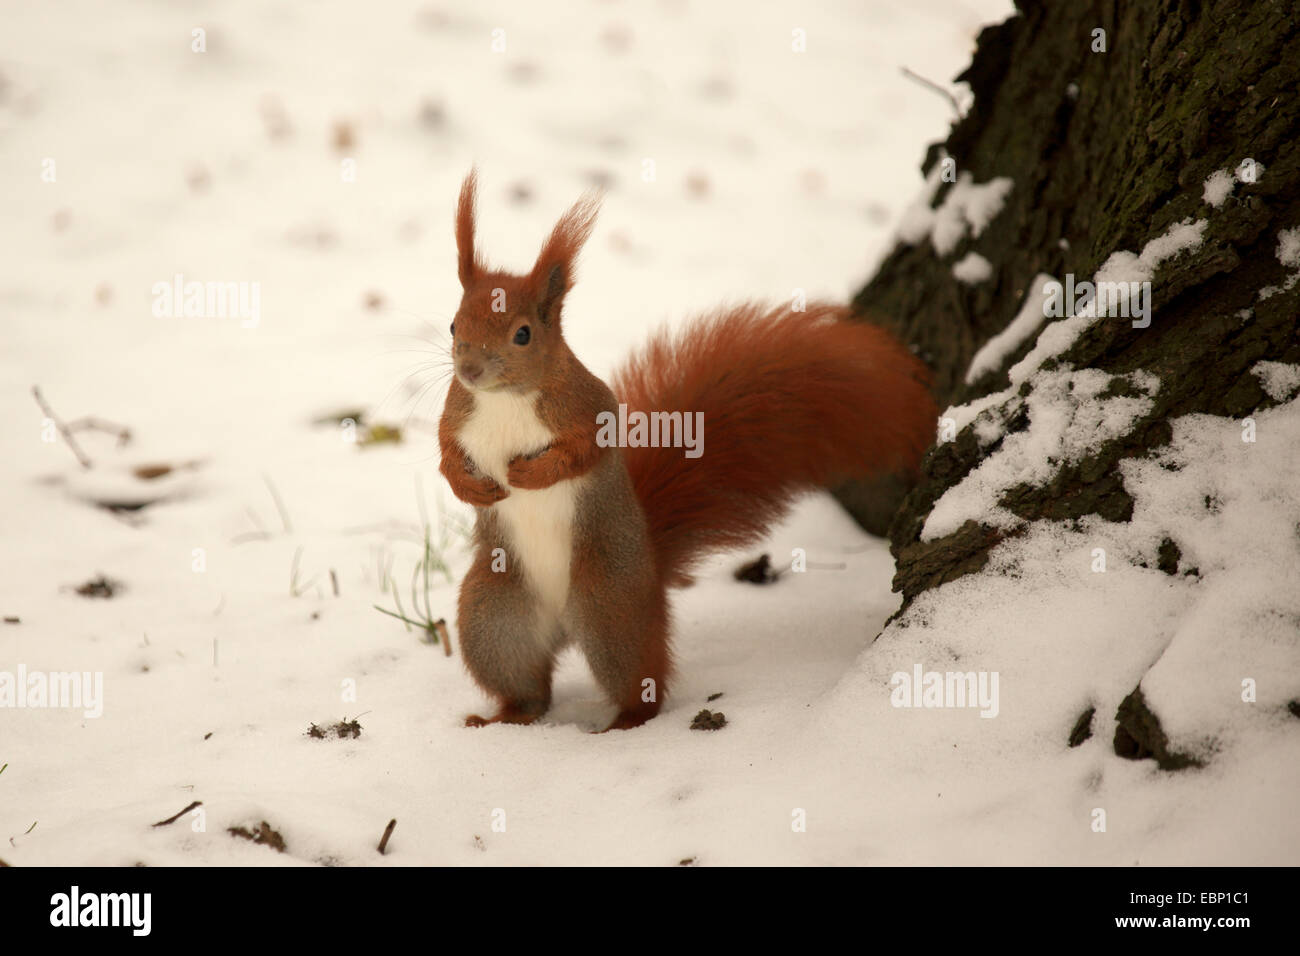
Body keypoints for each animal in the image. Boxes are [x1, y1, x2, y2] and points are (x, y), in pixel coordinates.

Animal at [436, 170, 935, 733]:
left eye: (522, 334)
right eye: (453, 325)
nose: (470, 370)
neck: (503, 399)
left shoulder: (590, 408)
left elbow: (586, 451)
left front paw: (533, 474)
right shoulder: (456, 414)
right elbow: (445, 451)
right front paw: (469, 485)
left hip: (610, 607)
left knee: (638, 678)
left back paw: (623, 723)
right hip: (496, 614)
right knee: (527, 687)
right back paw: (503, 719)